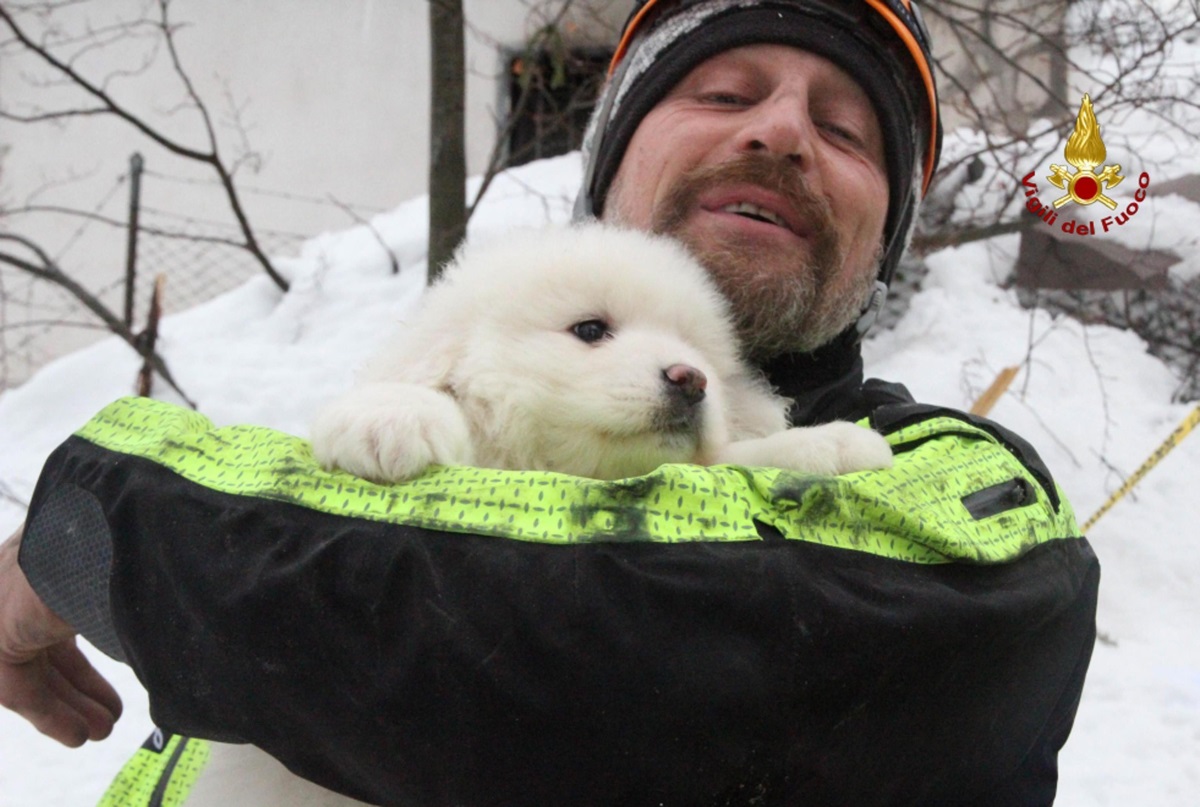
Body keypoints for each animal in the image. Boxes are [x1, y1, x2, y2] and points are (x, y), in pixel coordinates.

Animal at [309, 223, 892, 482]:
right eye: (590, 329)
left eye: (699, 353)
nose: (691, 379)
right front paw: (389, 416)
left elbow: (734, 456)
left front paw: (833, 444)